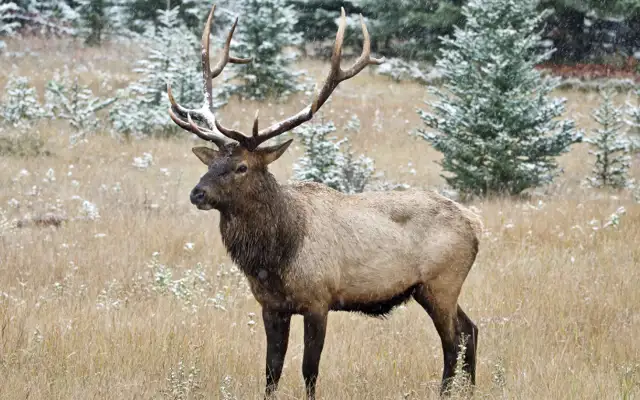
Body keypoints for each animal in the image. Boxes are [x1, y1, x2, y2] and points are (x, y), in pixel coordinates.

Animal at [167, 4, 483, 399]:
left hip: (441, 281)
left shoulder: (319, 300)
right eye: (210, 163)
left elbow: (309, 370)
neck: (275, 256)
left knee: (453, 340)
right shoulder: (271, 306)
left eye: (241, 166)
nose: (198, 193)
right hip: (434, 288)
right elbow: (271, 370)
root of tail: (476, 224)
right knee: (471, 330)